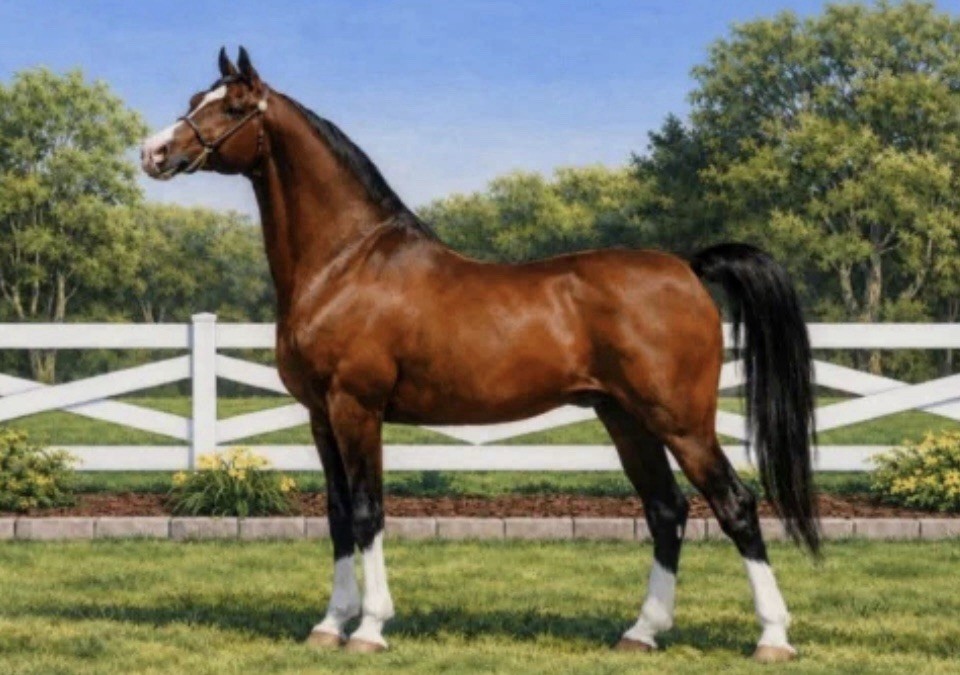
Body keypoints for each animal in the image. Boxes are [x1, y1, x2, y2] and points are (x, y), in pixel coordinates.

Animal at [141, 48, 818, 663]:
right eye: (196, 98)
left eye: (231, 106)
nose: (153, 153)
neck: (346, 263)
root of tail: (687, 267)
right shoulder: (320, 415)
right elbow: (335, 515)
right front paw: (330, 624)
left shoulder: (356, 407)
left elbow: (366, 512)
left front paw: (370, 628)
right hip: (624, 417)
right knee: (666, 510)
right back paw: (642, 633)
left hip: (680, 420)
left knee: (734, 505)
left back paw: (772, 638)